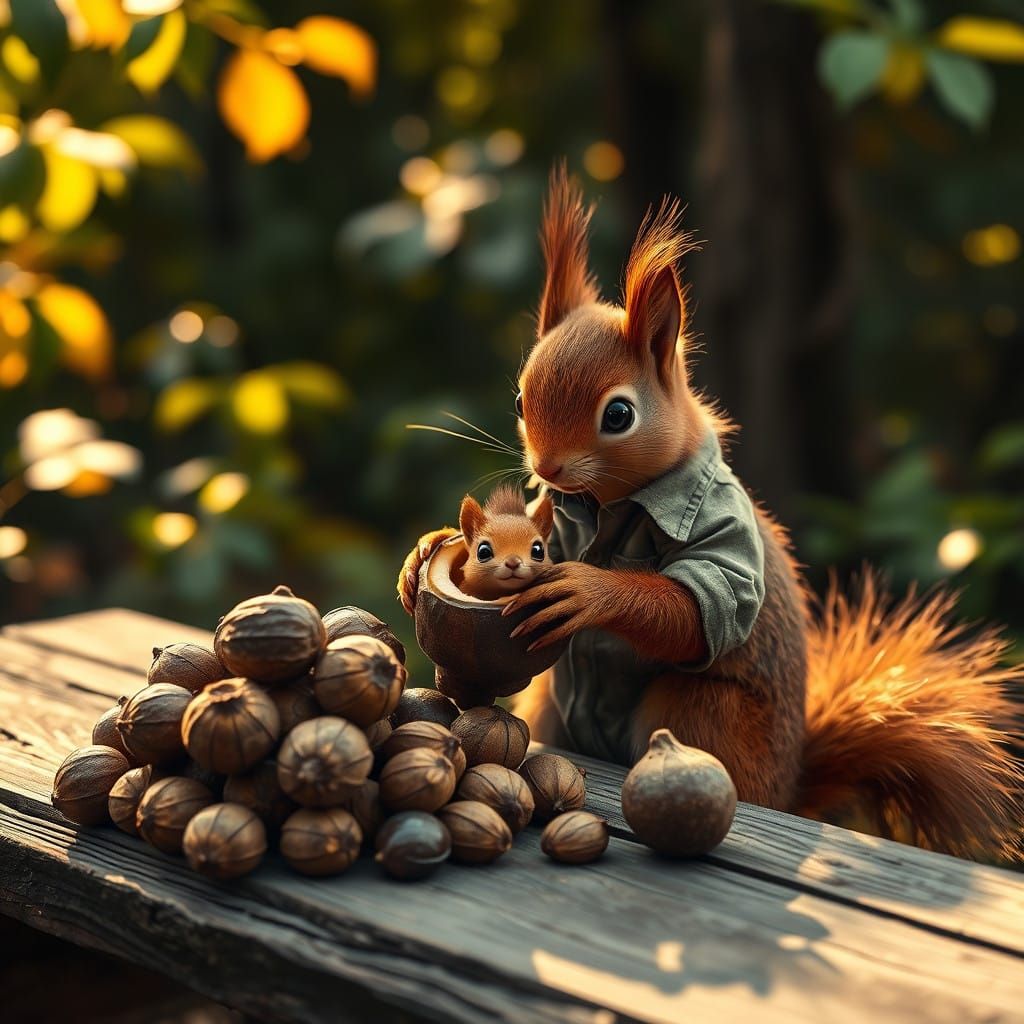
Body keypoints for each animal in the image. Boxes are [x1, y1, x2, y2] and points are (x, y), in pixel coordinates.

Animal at [399, 166, 1023, 861]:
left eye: (619, 414)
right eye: (518, 397)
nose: (548, 468)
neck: (612, 505)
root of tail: (786, 787)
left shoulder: (721, 539)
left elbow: (700, 609)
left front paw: (589, 590)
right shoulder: (557, 515)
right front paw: (425, 549)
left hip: (702, 711)